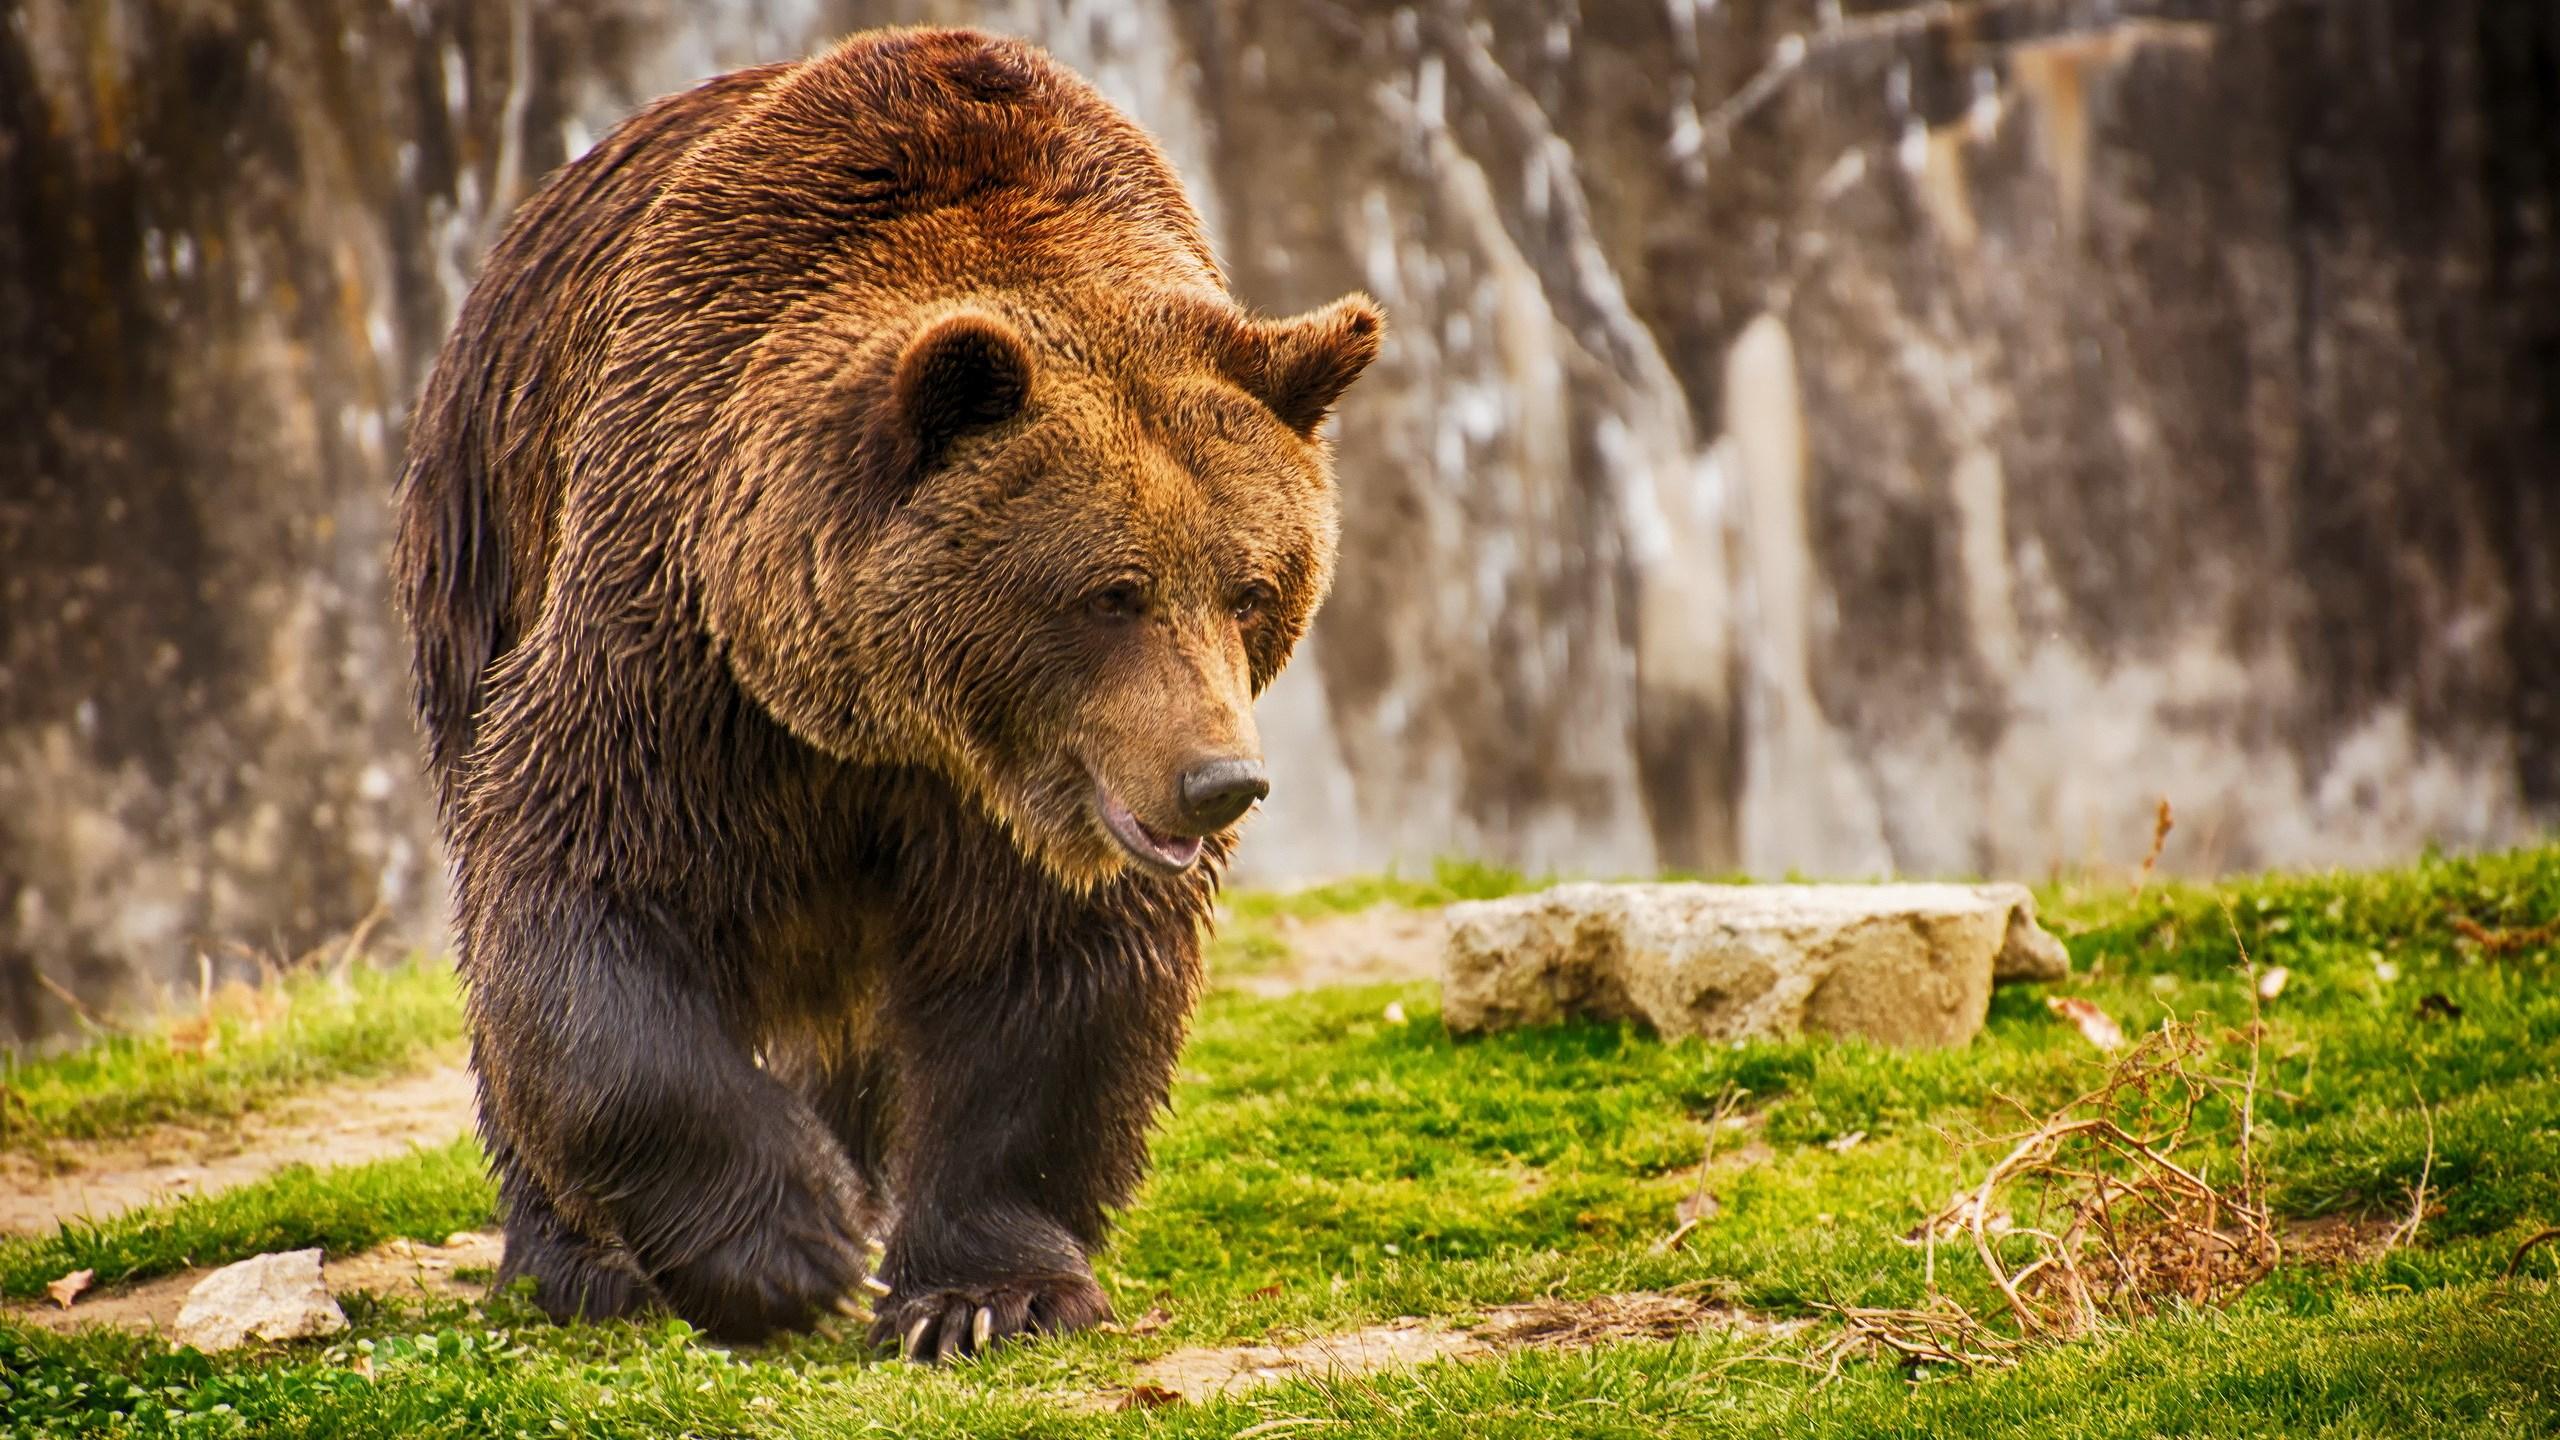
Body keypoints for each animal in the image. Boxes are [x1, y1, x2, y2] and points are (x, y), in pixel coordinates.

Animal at [390, 27, 1380, 1354]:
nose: (1219, 782)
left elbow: (1048, 981)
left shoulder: (1028, 802)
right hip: (484, 529)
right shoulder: (676, 647)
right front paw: (785, 1246)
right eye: (1112, 591)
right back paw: (579, 1262)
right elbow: (582, 897)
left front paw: (981, 1296)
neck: (882, 720)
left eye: (1251, 587)